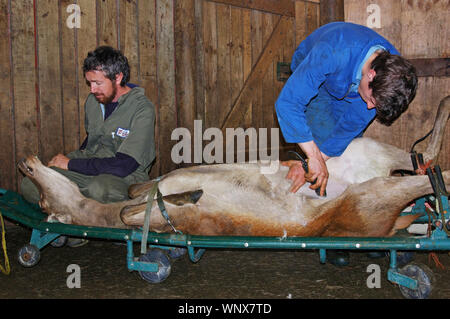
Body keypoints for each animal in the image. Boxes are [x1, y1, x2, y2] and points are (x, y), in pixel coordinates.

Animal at [18, 96, 450, 239]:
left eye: (41, 200)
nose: (25, 161)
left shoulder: (159, 184)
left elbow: (134, 197)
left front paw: (180, 194)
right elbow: (135, 209)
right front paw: (182, 198)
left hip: (364, 160)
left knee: (426, 162)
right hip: (370, 190)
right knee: (428, 168)